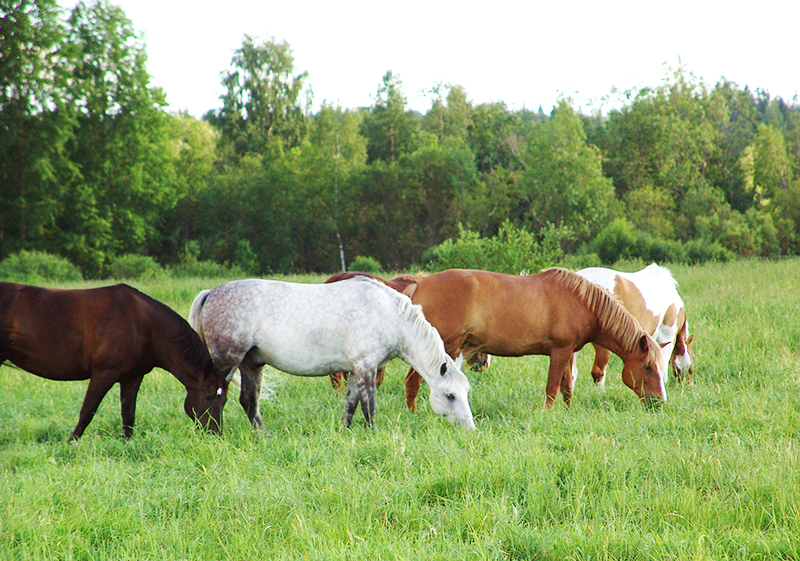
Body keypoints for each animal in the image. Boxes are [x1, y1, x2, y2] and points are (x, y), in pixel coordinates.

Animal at [0, 282, 227, 439]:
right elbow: (87, 411)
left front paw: (128, 443)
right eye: (208, 396)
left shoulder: (132, 377)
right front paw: (71, 443)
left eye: (223, 400)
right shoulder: (104, 374)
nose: (215, 434)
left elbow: (128, 414)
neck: (143, 326)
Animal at [188, 276, 474, 430]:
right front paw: (372, 433)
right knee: (213, 398)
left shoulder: (355, 369)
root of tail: (211, 292)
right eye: (450, 395)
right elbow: (369, 406)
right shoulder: (366, 367)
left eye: (465, 393)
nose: (470, 428)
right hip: (228, 362)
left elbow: (351, 404)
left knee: (249, 402)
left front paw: (344, 431)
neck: (388, 314)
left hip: (251, 364)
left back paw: (264, 435)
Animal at [402, 268, 667, 411]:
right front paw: (548, 415)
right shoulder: (559, 351)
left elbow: (567, 388)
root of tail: (419, 285)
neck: (580, 302)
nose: (659, 402)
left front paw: (568, 412)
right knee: (413, 382)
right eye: (647, 366)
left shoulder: (568, 351)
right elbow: (552, 388)